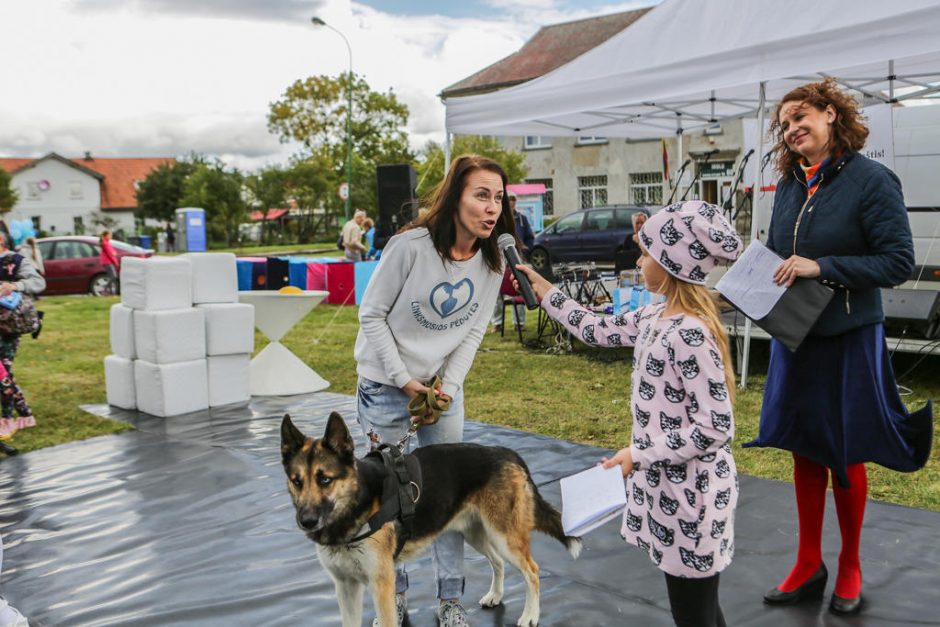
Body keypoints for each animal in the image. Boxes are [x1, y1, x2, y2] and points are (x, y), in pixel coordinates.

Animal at [282, 414, 584, 624]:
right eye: (297, 481)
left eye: (325, 479)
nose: (306, 521)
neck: (358, 501)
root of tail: (507, 453)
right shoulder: (346, 588)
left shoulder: (381, 585)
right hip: (477, 534)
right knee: (498, 562)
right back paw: (496, 596)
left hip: (504, 538)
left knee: (532, 572)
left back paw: (530, 616)